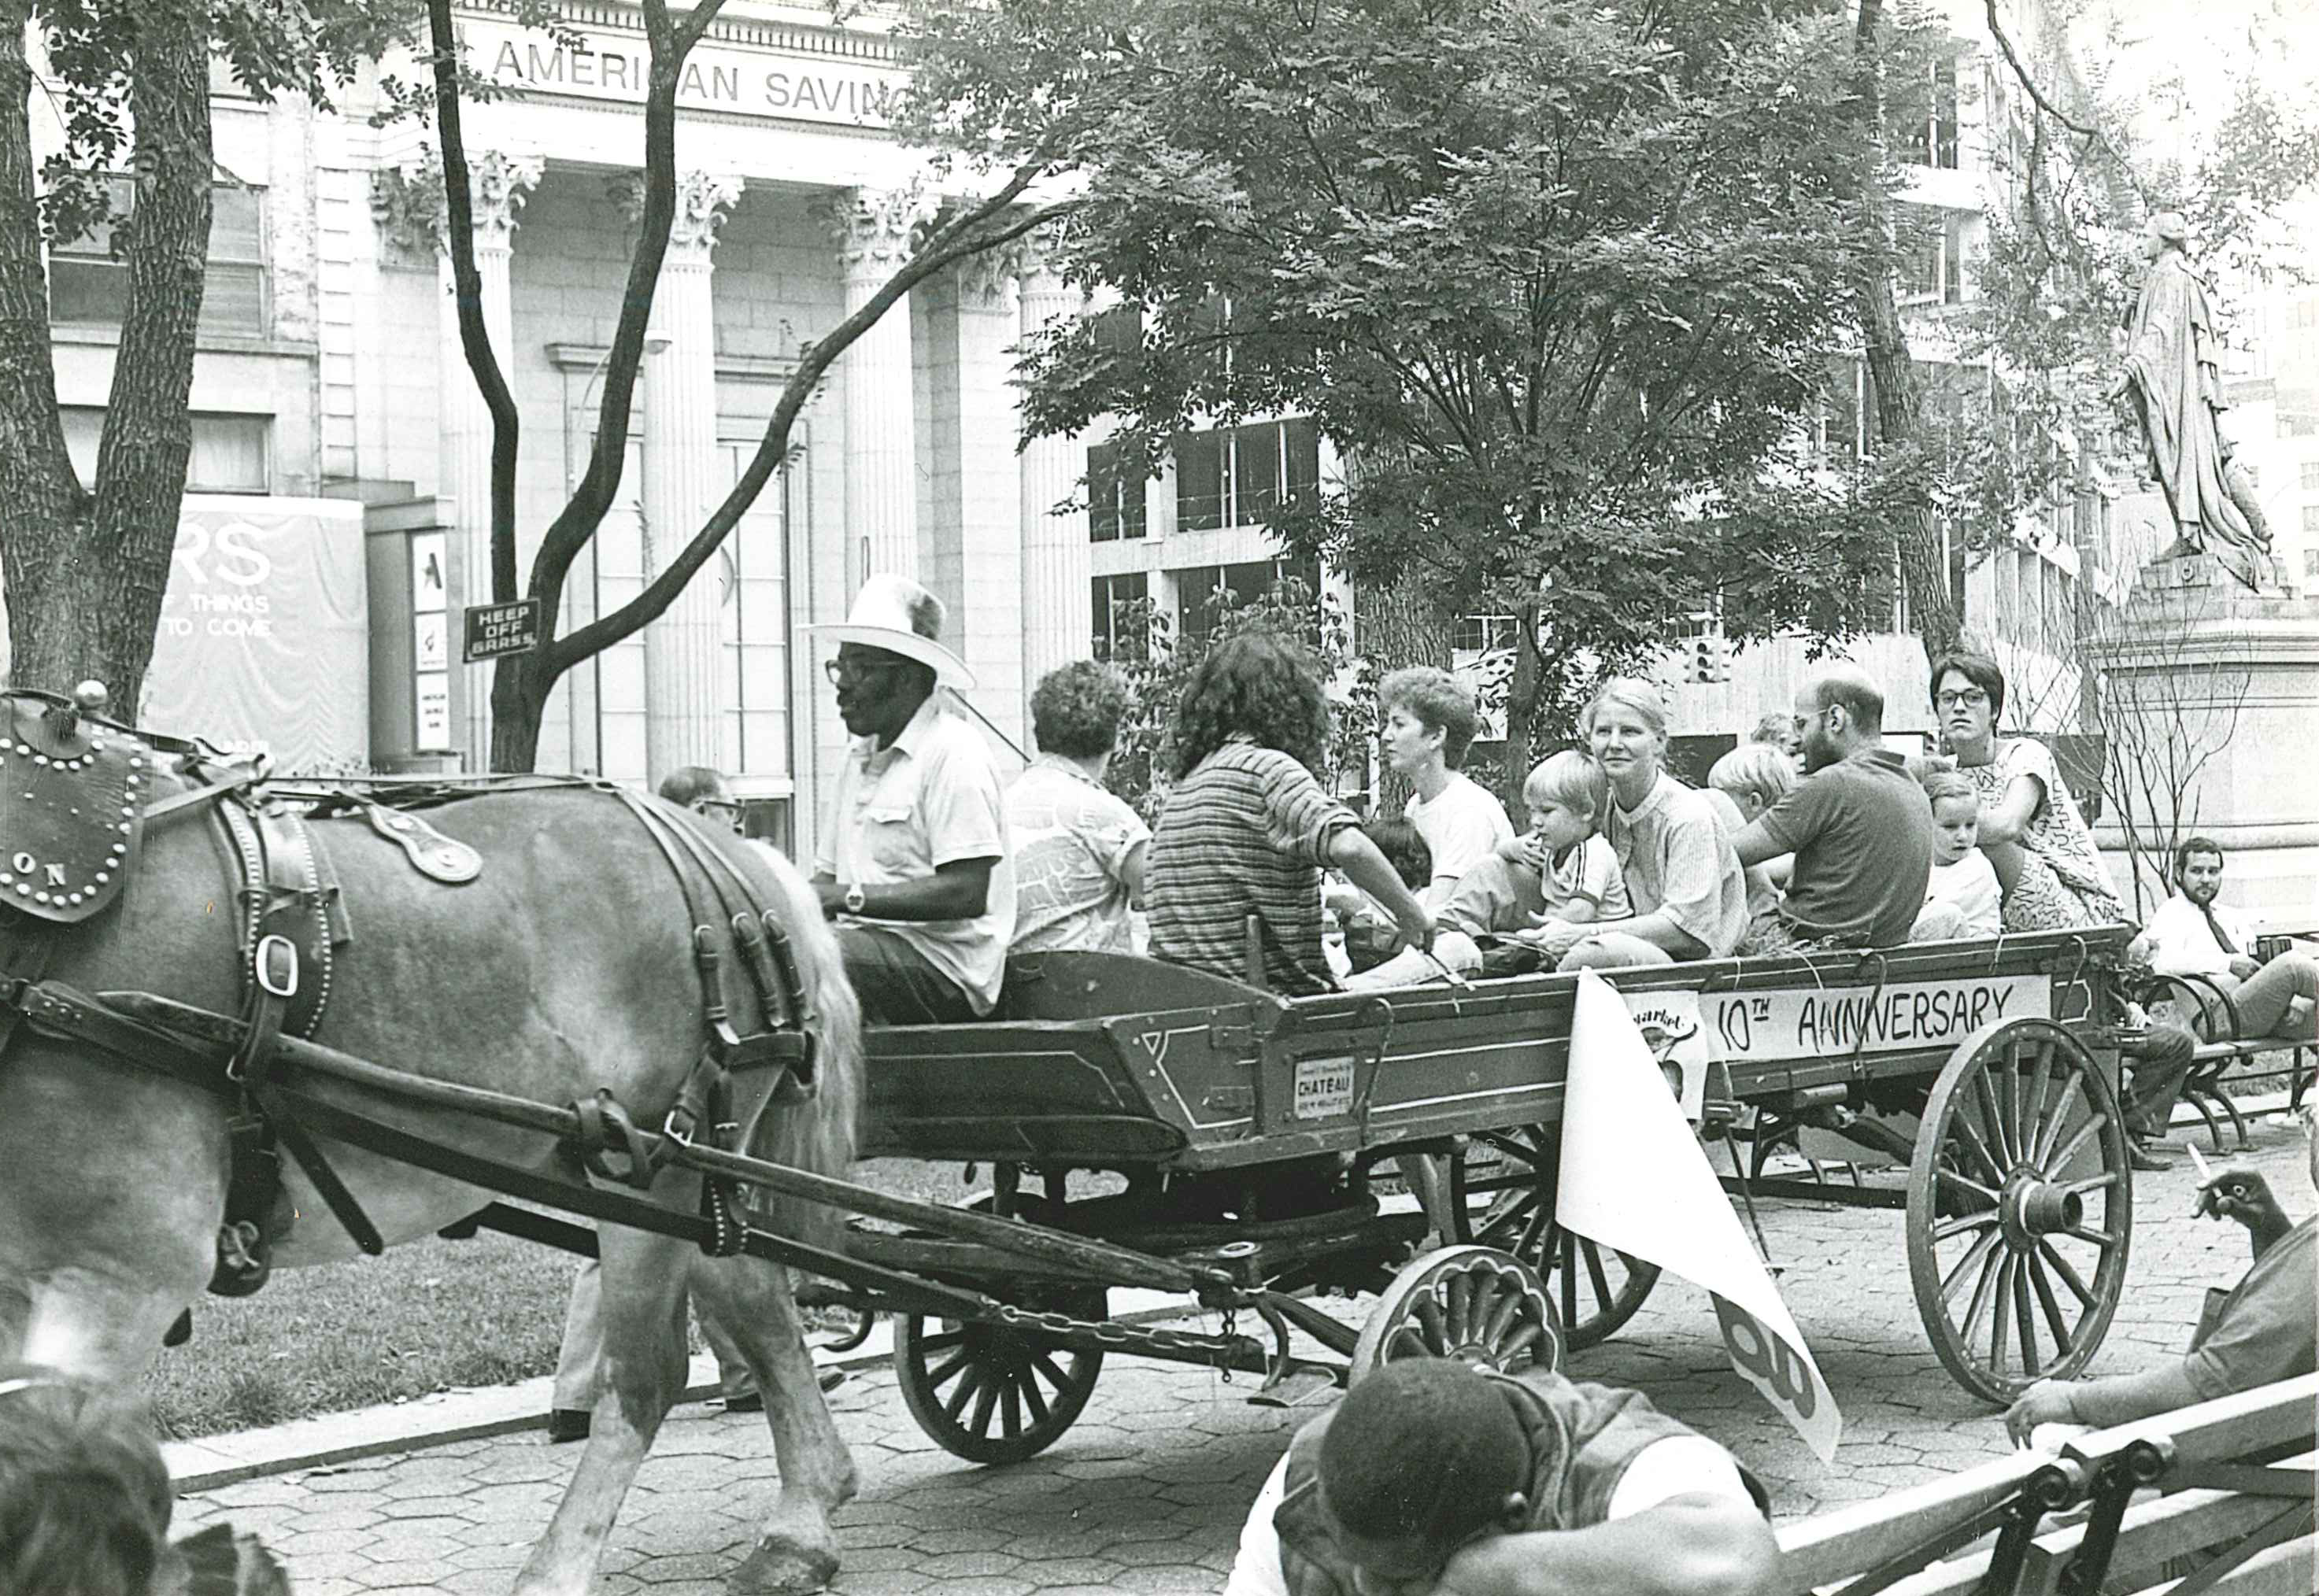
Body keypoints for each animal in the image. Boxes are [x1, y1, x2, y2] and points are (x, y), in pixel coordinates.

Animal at [0, 700, 864, 1596]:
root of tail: (736, 851)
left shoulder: (116, 1276)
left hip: (652, 1173)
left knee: (647, 1372)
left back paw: (564, 1564)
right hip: (685, 1173)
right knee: (755, 1299)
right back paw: (803, 1520)